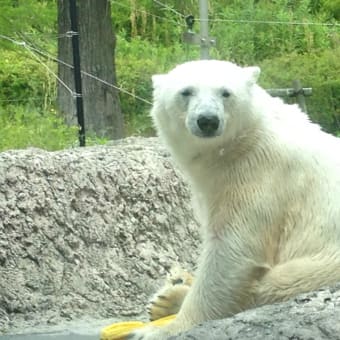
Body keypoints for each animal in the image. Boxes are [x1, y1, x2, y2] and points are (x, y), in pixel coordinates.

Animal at [129, 59, 340, 338]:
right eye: (186, 92)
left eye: (225, 92)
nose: (207, 120)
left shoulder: (260, 173)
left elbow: (231, 250)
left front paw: (162, 329)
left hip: (324, 264)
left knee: (275, 285)